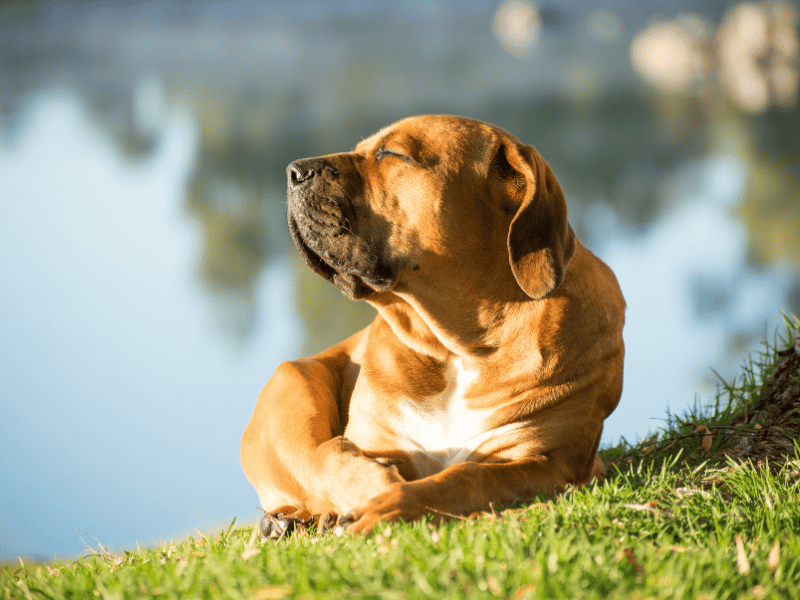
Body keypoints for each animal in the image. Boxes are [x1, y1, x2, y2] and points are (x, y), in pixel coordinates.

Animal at [239, 113, 624, 536]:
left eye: (393, 154)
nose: (294, 171)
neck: (456, 347)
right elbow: (331, 458)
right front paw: (372, 486)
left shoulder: (548, 461)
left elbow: (466, 478)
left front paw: (391, 503)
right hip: (295, 380)